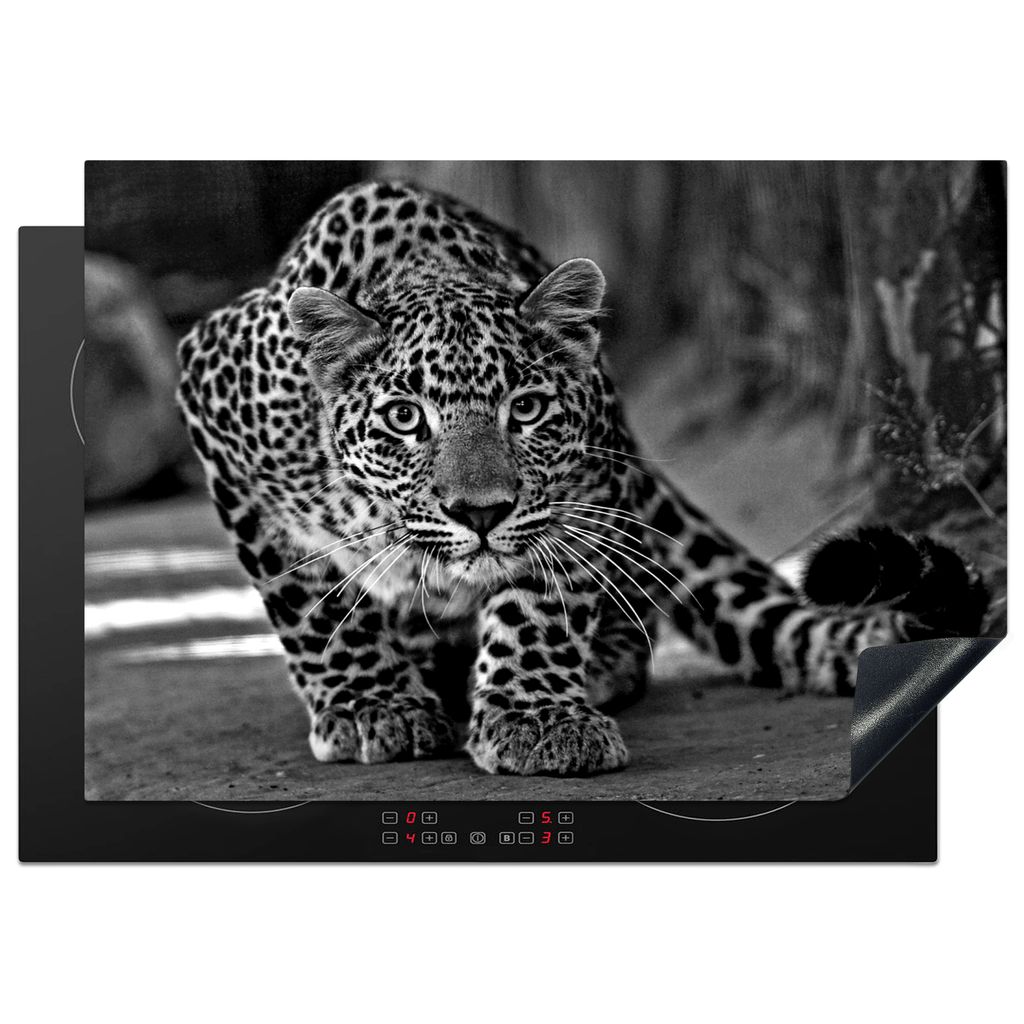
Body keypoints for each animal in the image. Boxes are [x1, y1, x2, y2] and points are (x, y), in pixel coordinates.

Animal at [176, 180, 988, 776]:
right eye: (405, 419)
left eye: (527, 409)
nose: (481, 513)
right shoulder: (216, 410)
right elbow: (310, 604)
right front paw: (367, 705)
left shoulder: (584, 490)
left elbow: (541, 604)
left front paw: (535, 716)